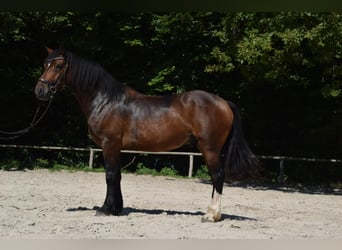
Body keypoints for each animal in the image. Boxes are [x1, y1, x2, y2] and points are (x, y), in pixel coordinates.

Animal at [35, 46, 260, 221]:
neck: (105, 100)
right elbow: (117, 176)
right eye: (45, 65)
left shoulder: (109, 144)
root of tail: (223, 102)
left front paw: (105, 209)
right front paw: (117, 209)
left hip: (209, 148)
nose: (40, 91)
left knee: (218, 175)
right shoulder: (117, 148)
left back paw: (211, 215)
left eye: (57, 66)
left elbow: (109, 176)